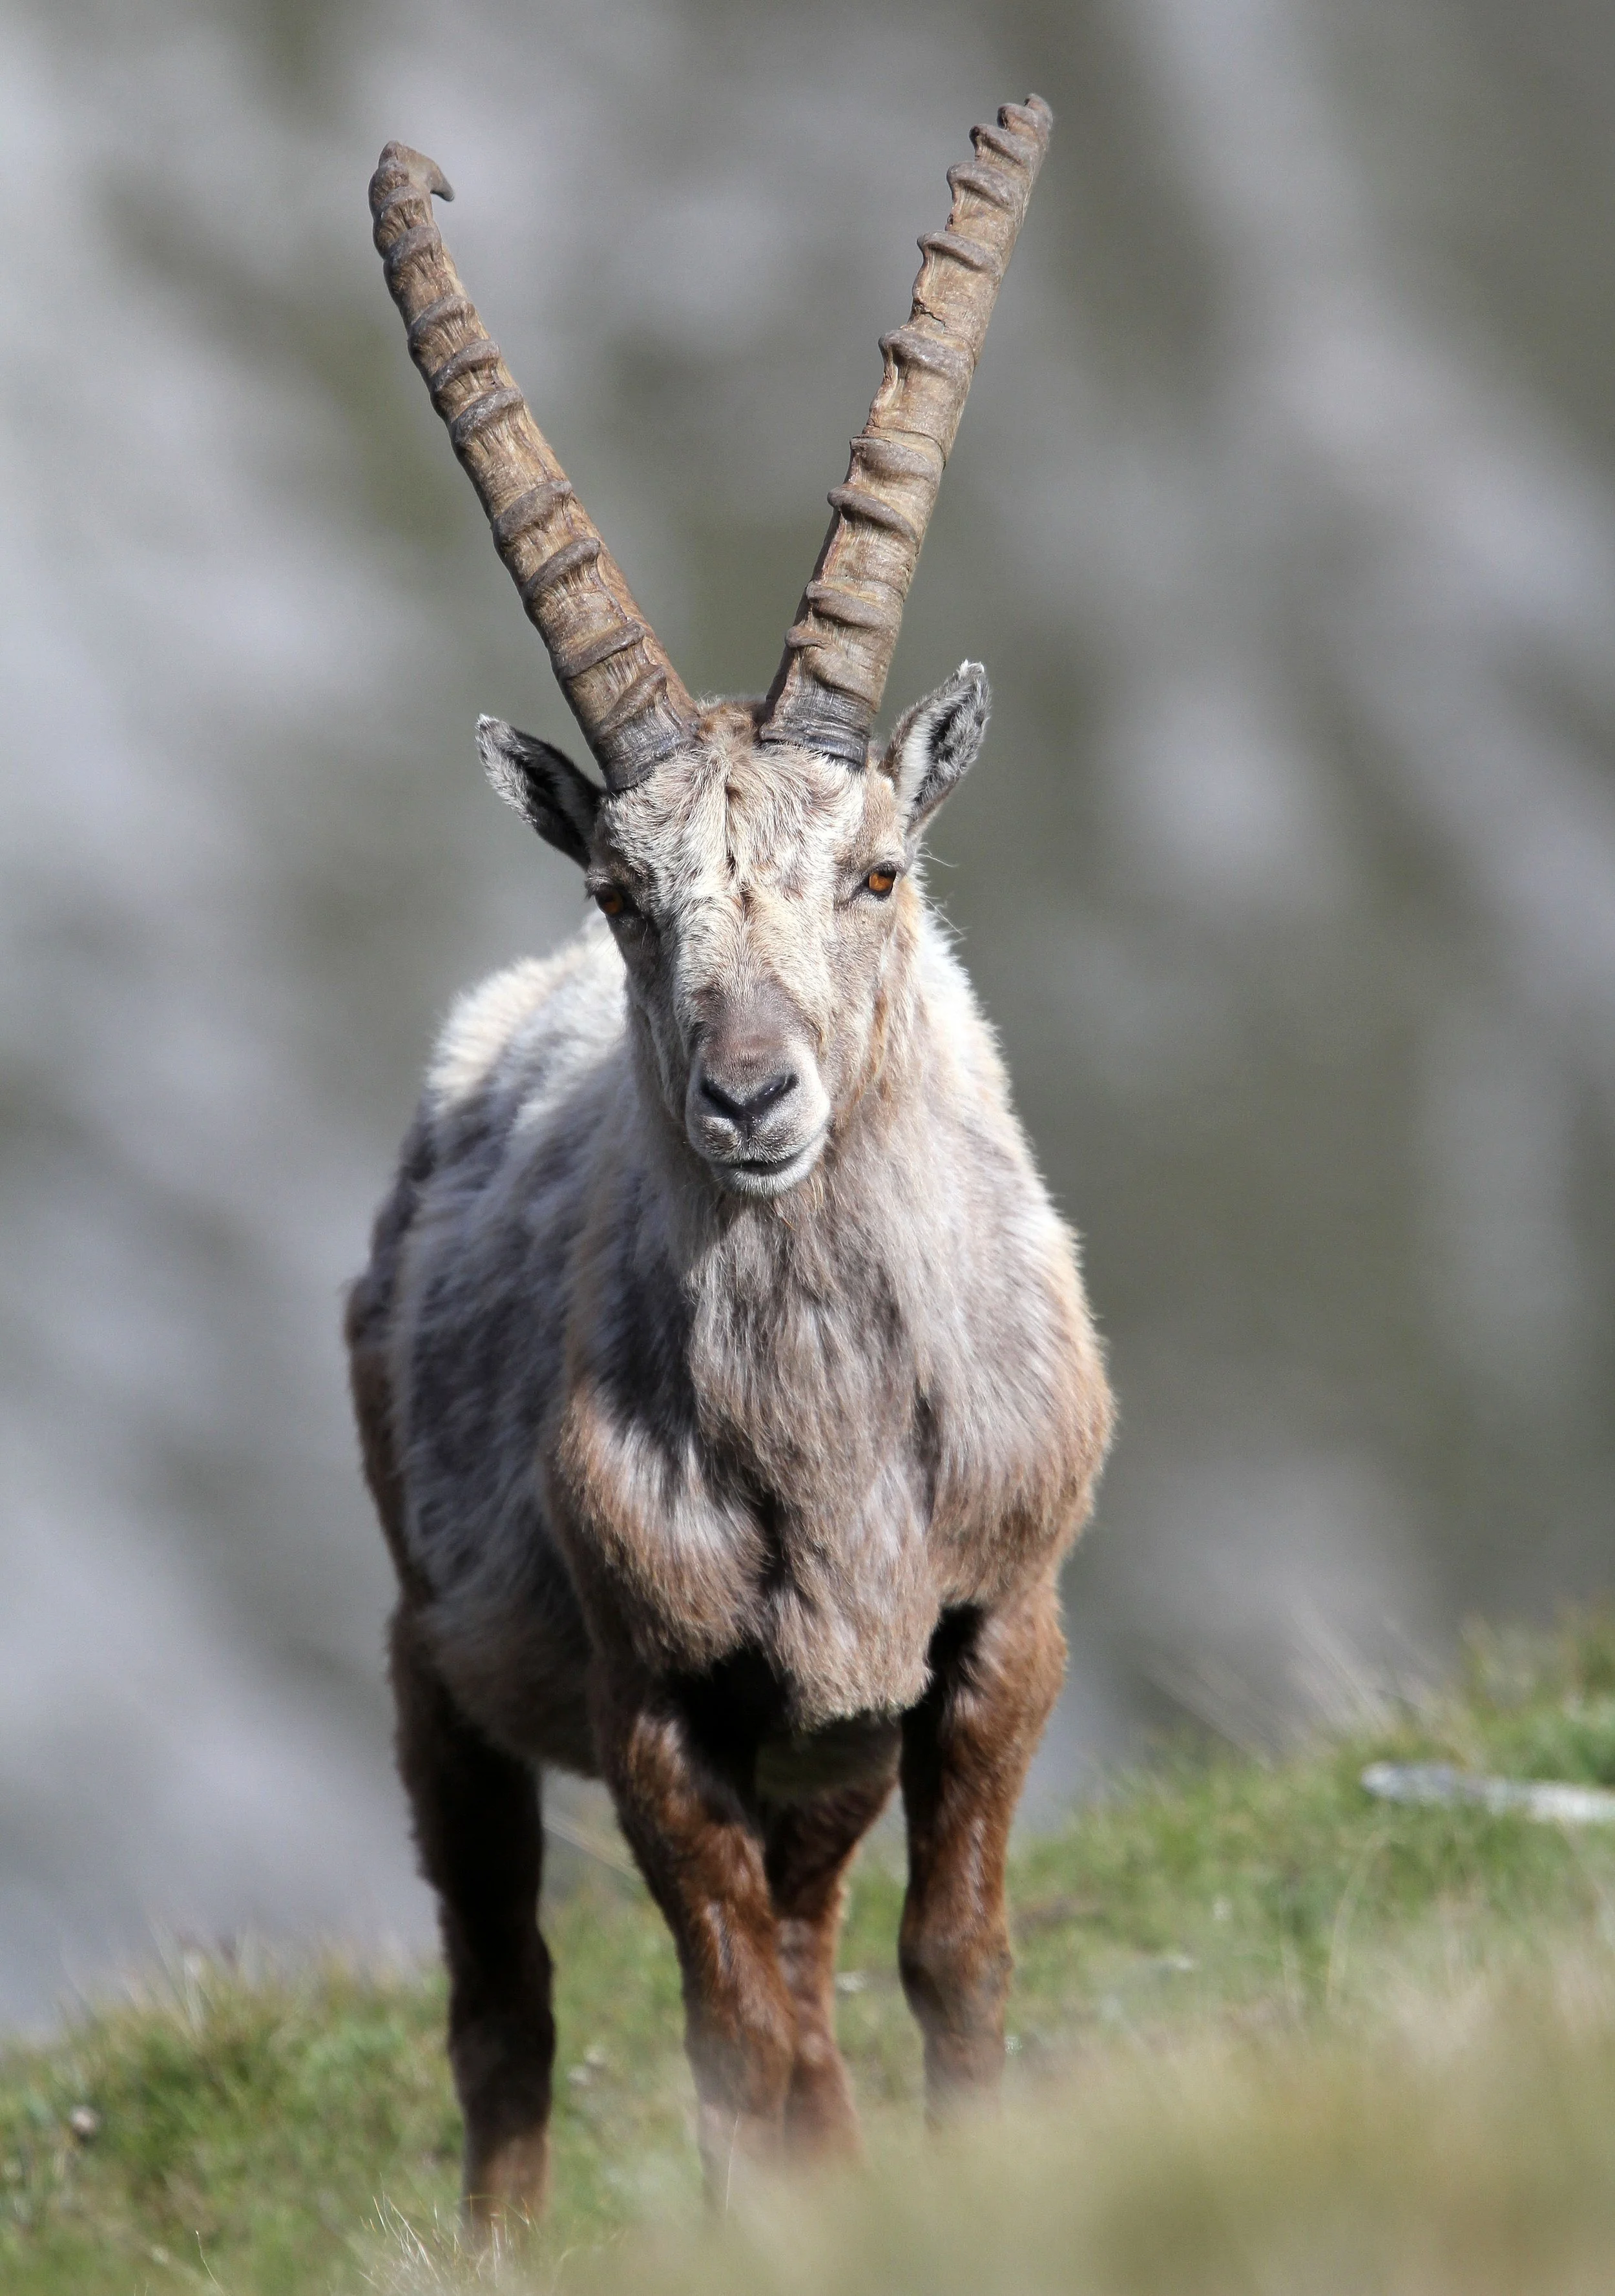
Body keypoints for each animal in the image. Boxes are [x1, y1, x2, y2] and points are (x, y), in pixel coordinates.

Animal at [349, 97, 1113, 2232]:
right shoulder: (659, 1704)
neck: (835, 1443)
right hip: (439, 1666)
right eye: (625, 892)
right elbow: (746, 2049)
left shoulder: (986, 1636)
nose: (750, 1095)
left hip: (825, 1754)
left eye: (876, 869)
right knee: (512, 2010)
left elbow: (949, 1963)